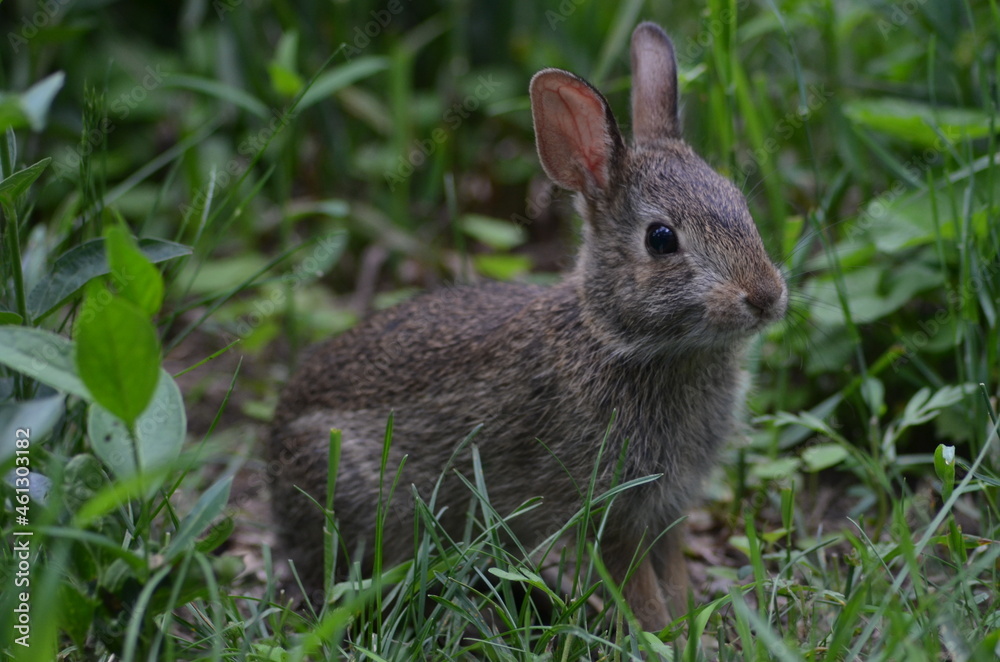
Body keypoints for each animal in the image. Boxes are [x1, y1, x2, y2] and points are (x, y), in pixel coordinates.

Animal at [268, 21, 787, 632]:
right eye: (661, 239)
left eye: (739, 202)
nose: (766, 296)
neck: (615, 336)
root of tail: (273, 456)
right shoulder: (610, 507)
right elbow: (636, 584)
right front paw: (657, 633)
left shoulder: (667, 510)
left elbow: (674, 573)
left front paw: (689, 631)